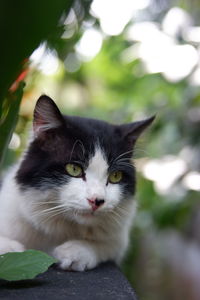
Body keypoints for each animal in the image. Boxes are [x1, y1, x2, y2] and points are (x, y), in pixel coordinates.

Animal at [0, 96, 154, 272]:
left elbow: (108, 245)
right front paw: (11, 249)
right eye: (74, 169)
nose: (97, 201)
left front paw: (76, 251)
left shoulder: (118, 239)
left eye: (115, 176)